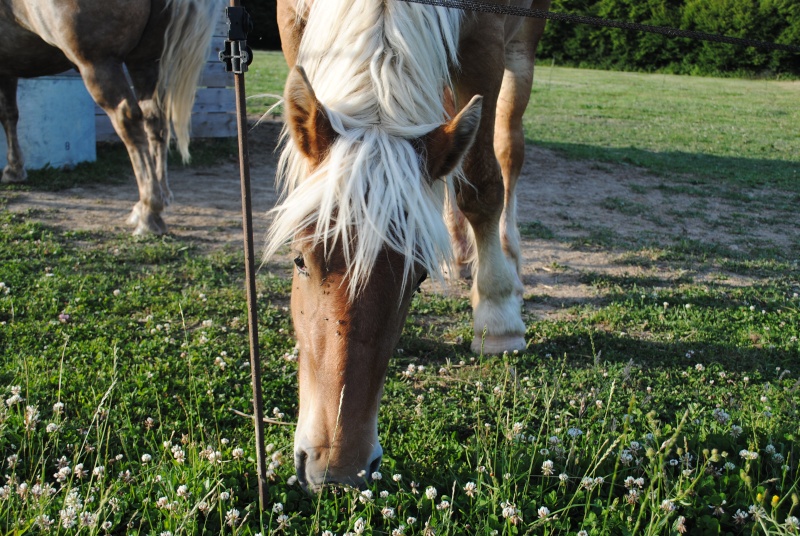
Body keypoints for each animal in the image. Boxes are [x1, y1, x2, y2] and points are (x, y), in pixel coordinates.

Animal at [0, 0, 217, 234]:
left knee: (128, 120)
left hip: (98, 64)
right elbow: (10, 114)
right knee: (155, 119)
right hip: (146, 60)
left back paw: (149, 212)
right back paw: (155, 200)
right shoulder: (8, 69)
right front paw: (14, 170)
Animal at [268, 0, 552, 492]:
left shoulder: (485, 44)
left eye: (418, 278)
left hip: (522, 46)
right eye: (300, 260)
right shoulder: (292, 26)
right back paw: (461, 254)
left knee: (507, 149)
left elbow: (482, 184)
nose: (339, 472)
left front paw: (497, 315)